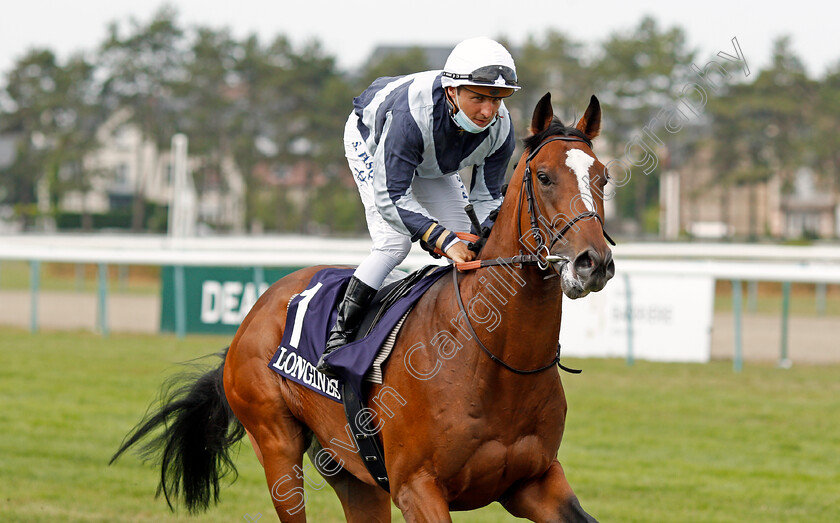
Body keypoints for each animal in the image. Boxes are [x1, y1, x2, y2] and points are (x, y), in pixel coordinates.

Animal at [111, 92, 612, 520]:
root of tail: (254, 313)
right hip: (277, 448)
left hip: (351, 470)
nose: (594, 263)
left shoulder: (534, 481)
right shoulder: (417, 487)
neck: (498, 362)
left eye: (602, 176)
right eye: (544, 177)